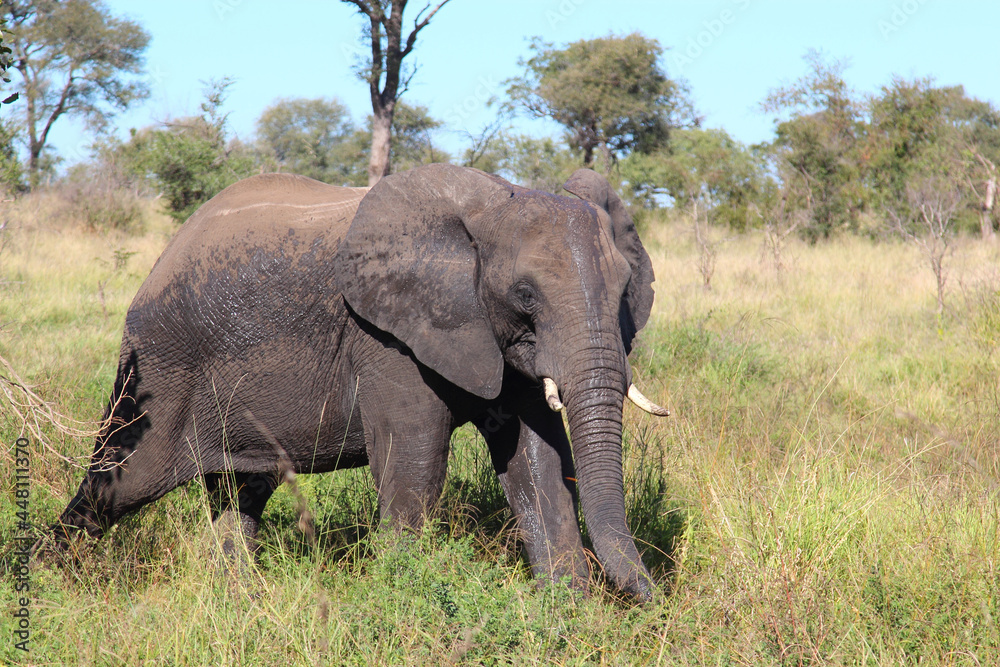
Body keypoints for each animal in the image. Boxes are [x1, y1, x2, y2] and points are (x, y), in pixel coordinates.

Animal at [50, 163, 668, 600]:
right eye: (525, 295)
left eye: (623, 292)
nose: (656, 598)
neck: (492, 200)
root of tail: (162, 258)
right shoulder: (387, 336)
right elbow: (415, 462)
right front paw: (403, 603)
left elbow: (538, 459)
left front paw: (569, 614)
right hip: (158, 369)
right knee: (118, 481)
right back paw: (48, 584)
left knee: (239, 492)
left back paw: (240, 602)